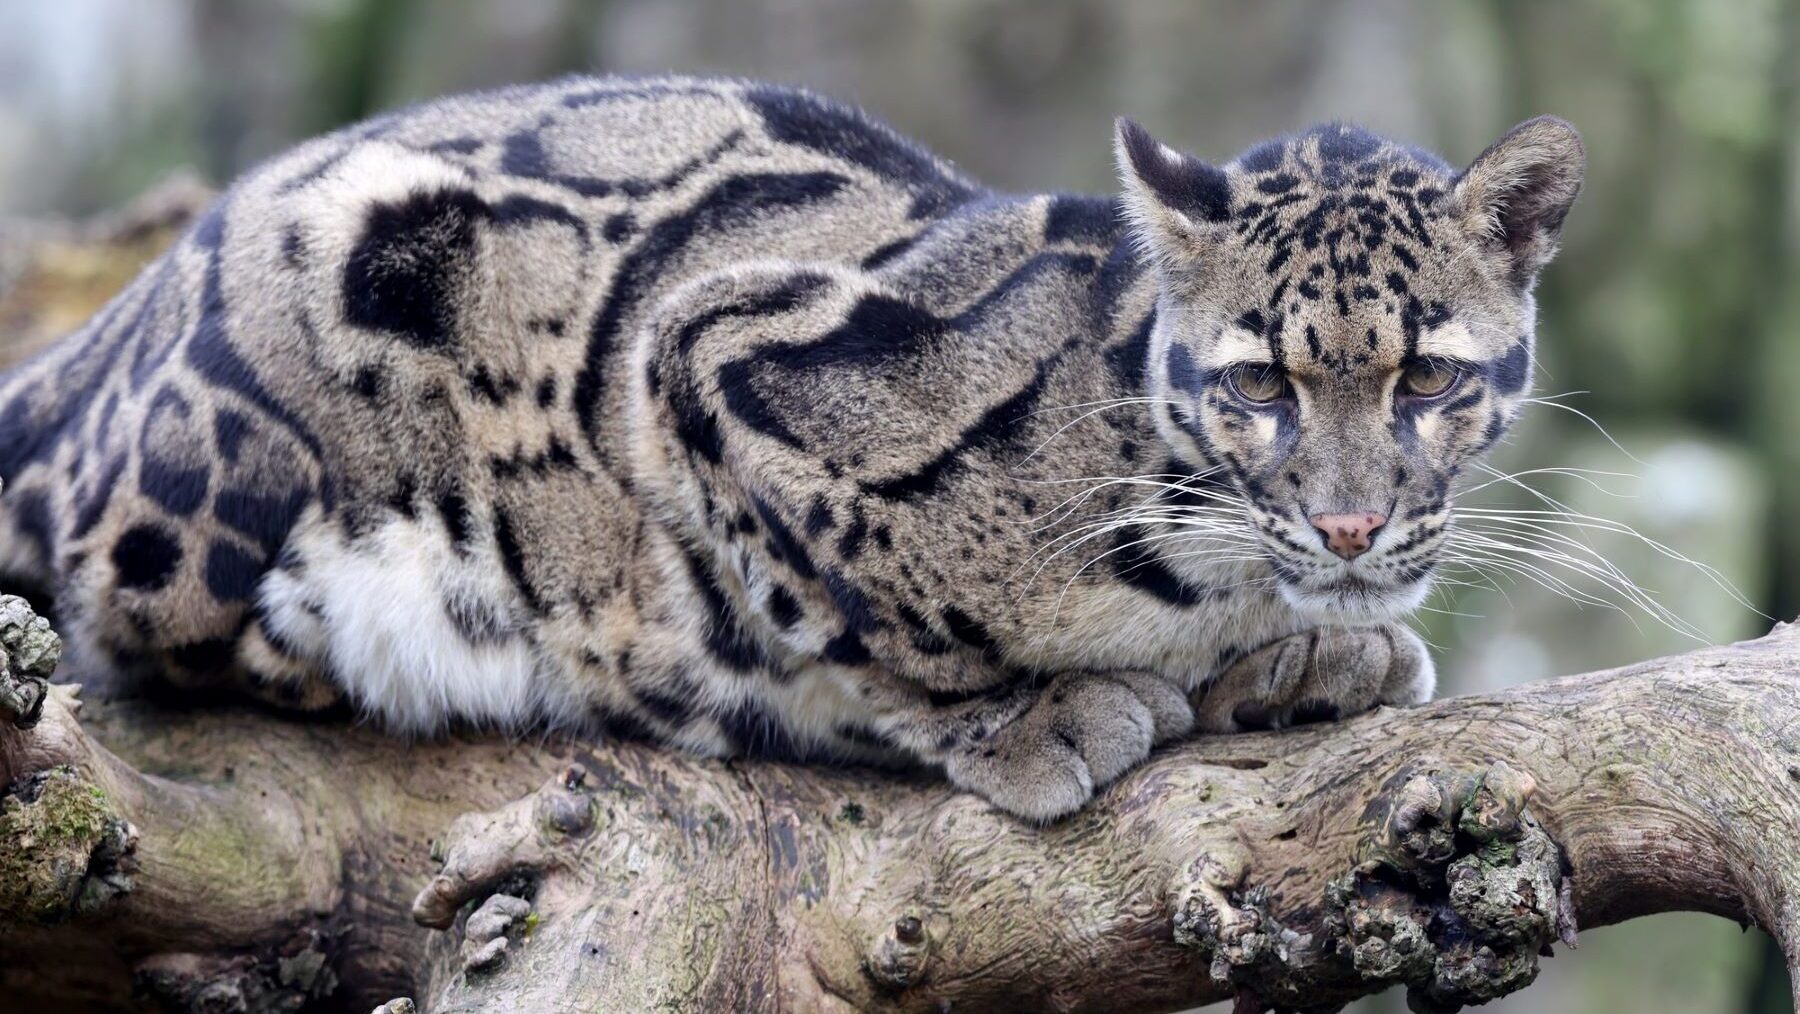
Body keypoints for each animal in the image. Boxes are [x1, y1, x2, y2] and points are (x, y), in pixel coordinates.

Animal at [0, 75, 1582, 821]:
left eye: (1431, 375)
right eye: (1257, 383)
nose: (1352, 528)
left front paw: (1314, 656)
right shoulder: (707, 356)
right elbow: (854, 619)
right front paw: (1030, 714)